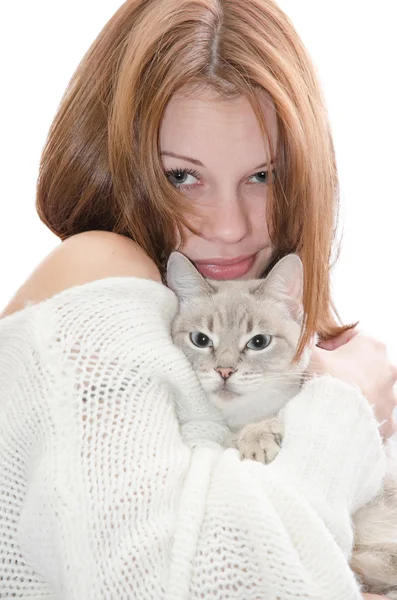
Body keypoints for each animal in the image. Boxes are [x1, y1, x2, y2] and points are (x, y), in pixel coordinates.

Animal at [166, 251, 396, 596]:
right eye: (200, 339)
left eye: (259, 342)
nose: (224, 371)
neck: (242, 417)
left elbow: (273, 418)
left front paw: (257, 439)